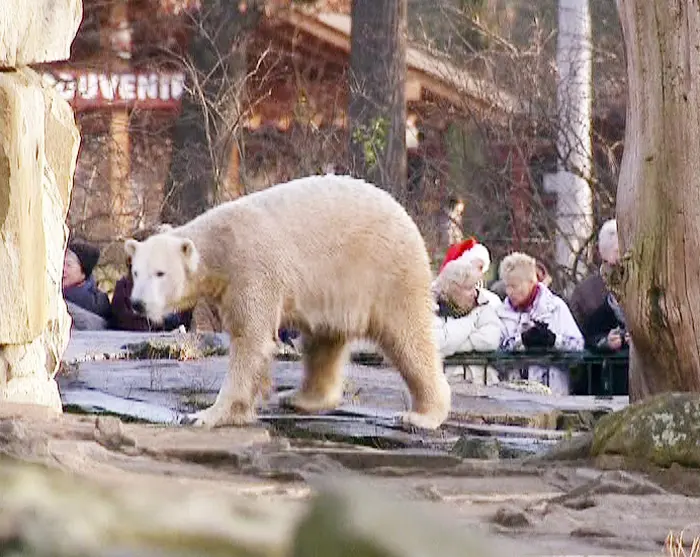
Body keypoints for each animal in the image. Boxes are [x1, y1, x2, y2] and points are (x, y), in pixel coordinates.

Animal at [125, 174, 452, 430]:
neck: (220, 245)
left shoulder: (251, 270)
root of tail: (406, 217)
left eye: (160, 273)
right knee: (323, 342)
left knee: (408, 337)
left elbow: (251, 339)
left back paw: (421, 415)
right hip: (335, 288)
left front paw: (205, 415)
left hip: (387, 272)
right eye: (135, 271)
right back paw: (299, 398)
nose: (138, 304)